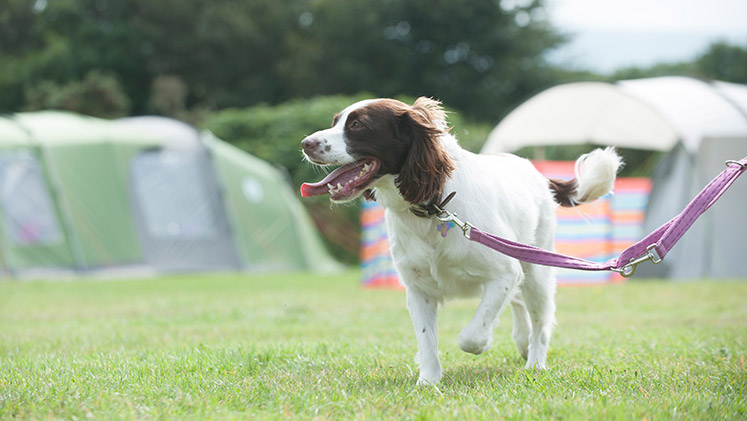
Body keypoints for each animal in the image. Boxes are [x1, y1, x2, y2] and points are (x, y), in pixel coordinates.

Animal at [298, 96, 620, 384]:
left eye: (358, 124)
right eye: (336, 121)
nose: (306, 143)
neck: (434, 207)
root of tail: (535, 171)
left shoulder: (505, 273)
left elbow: (471, 336)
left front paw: (484, 343)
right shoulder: (418, 288)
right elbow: (426, 340)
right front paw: (428, 381)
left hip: (536, 267)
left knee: (541, 320)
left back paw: (535, 363)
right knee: (520, 304)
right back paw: (522, 341)